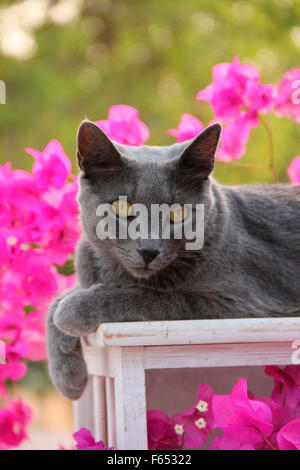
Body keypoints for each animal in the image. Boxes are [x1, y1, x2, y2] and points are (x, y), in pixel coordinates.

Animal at [46, 120, 300, 400]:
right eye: (121, 208)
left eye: (177, 213)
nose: (148, 249)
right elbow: (55, 302)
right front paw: (67, 378)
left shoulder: (240, 304)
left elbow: (151, 298)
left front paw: (74, 310)